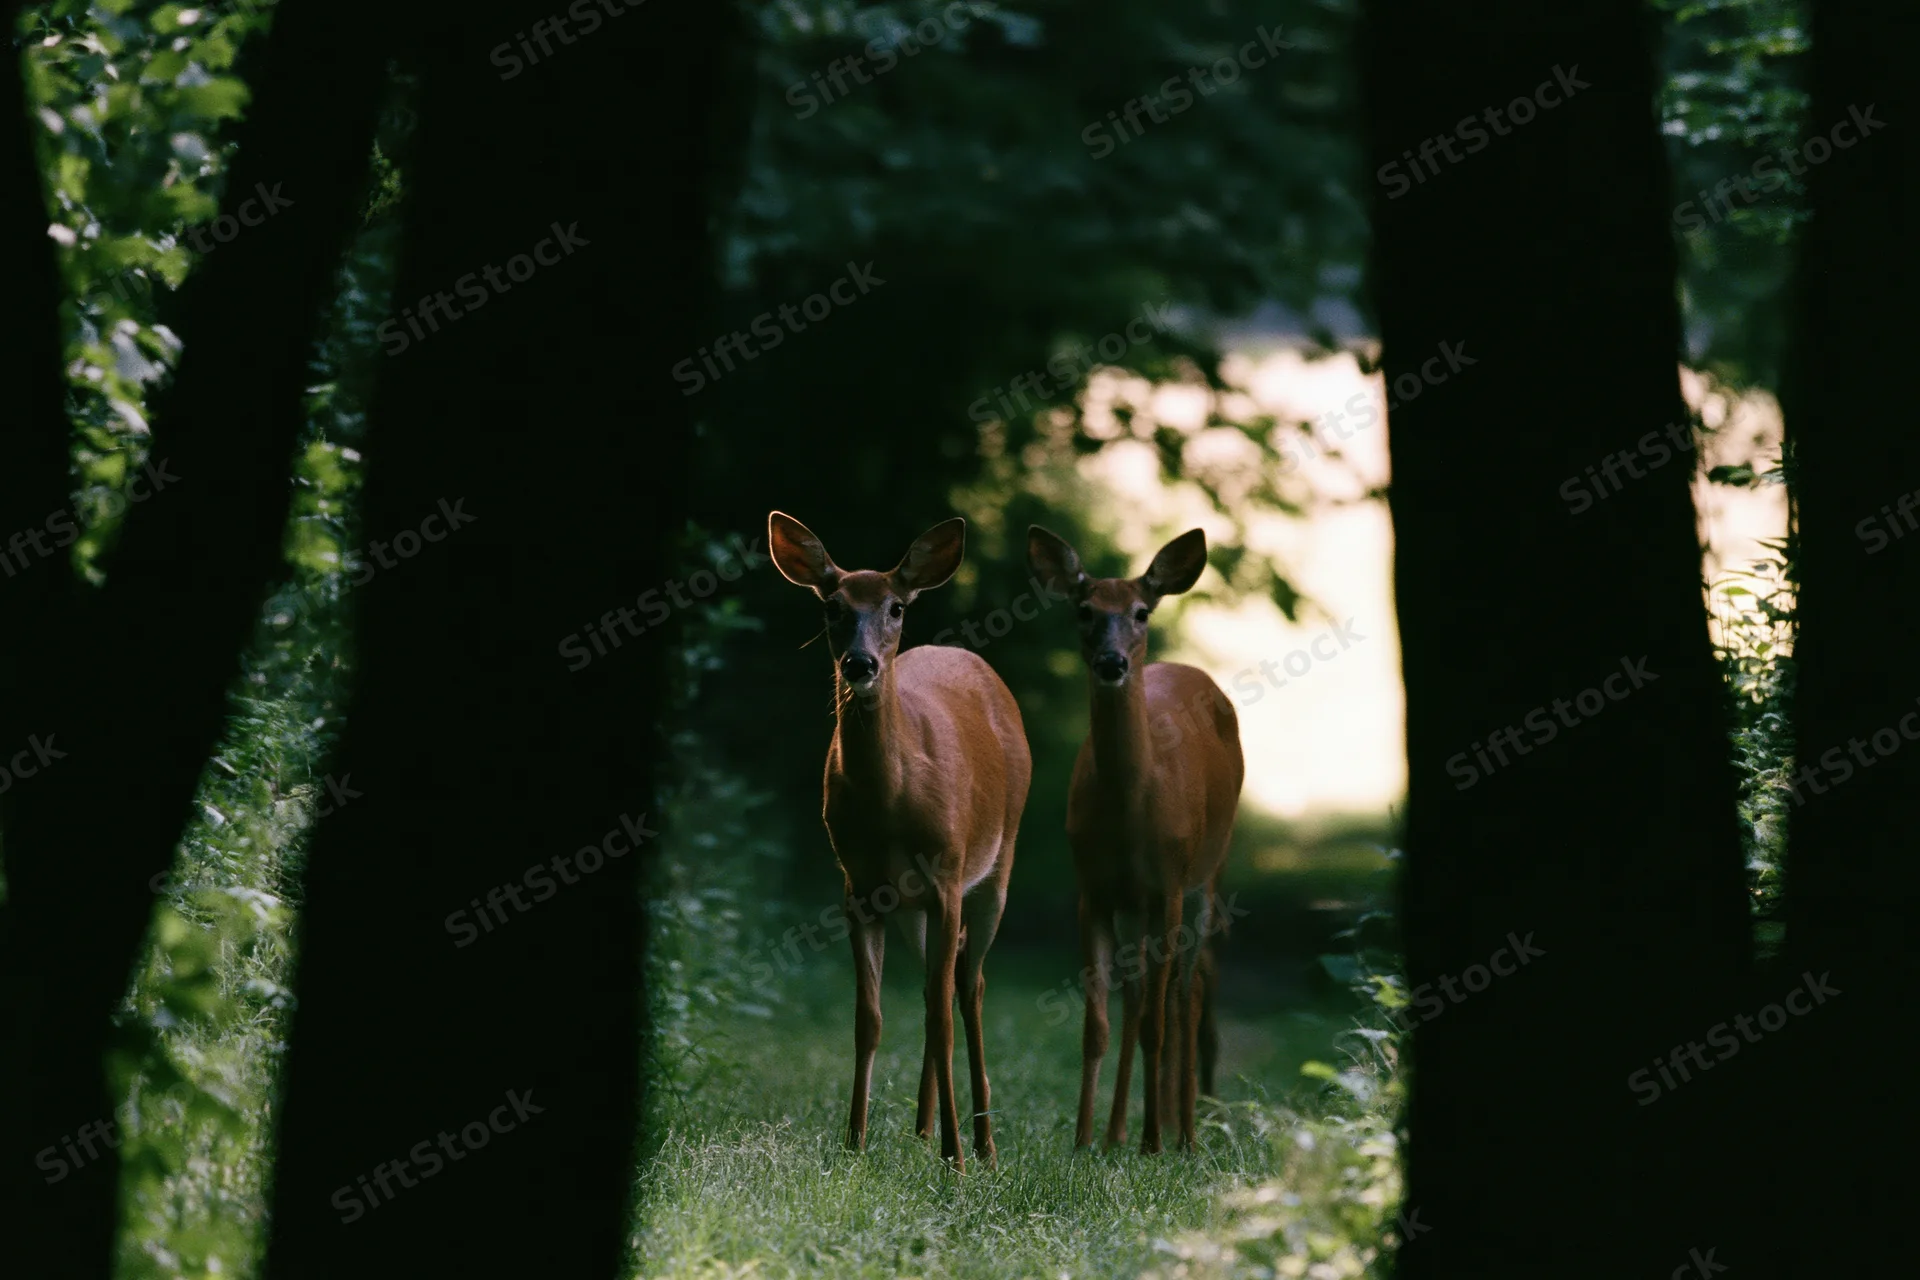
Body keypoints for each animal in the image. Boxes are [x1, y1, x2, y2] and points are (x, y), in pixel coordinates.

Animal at [768, 511, 1031, 1173]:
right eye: (832, 605)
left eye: (895, 607)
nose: (860, 664)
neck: (888, 801)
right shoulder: (858, 888)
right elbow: (870, 1017)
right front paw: (854, 1142)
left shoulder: (947, 873)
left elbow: (940, 1015)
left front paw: (956, 1162)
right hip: (912, 906)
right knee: (939, 980)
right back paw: (919, 1130)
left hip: (996, 866)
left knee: (968, 987)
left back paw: (983, 1146)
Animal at [1028, 524, 1244, 1154]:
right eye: (1084, 609)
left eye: (1141, 612)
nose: (1111, 661)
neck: (1130, 813)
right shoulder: (1094, 891)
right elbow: (1096, 1023)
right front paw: (1083, 1139)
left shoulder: (1168, 884)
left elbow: (1157, 1018)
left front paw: (1154, 1141)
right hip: (1137, 905)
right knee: (1138, 994)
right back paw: (1118, 1131)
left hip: (1205, 876)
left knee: (1185, 995)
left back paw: (1182, 1134)